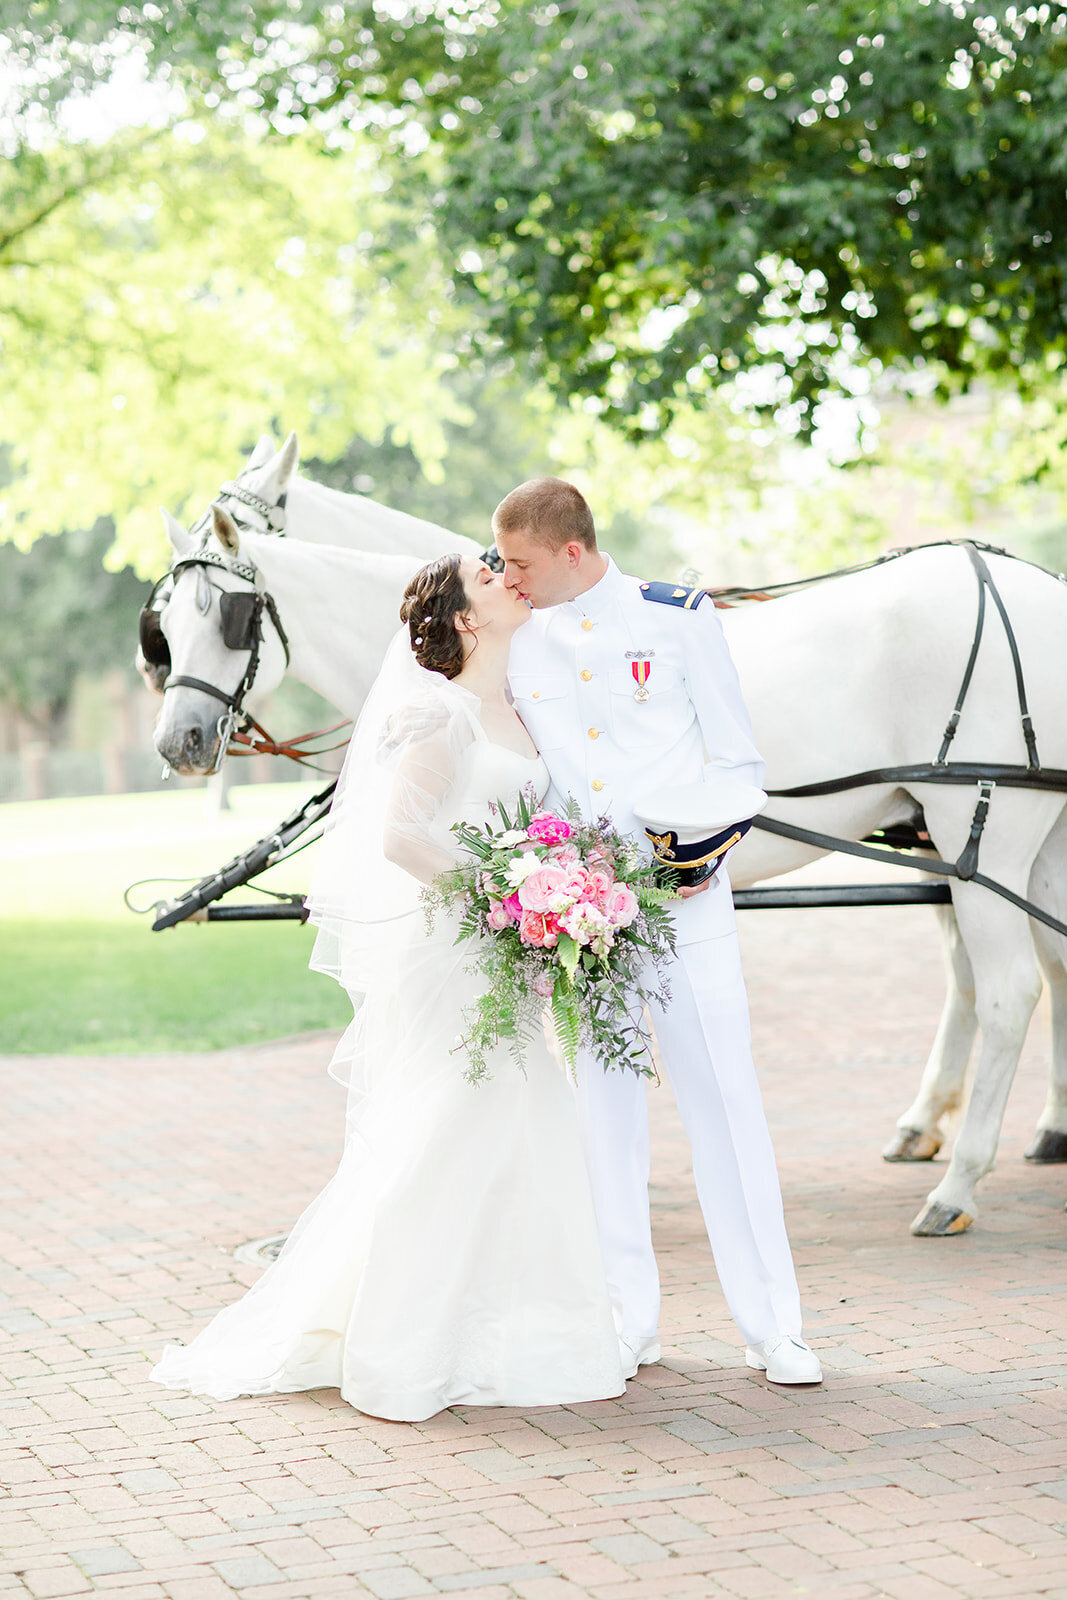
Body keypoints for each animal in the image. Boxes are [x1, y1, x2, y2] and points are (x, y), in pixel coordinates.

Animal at [146, 432, 1067, 1228]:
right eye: (164, 623)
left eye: (232, 615)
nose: (177, 741)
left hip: (977, 827)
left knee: (1008, 989)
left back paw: (958, 1182)